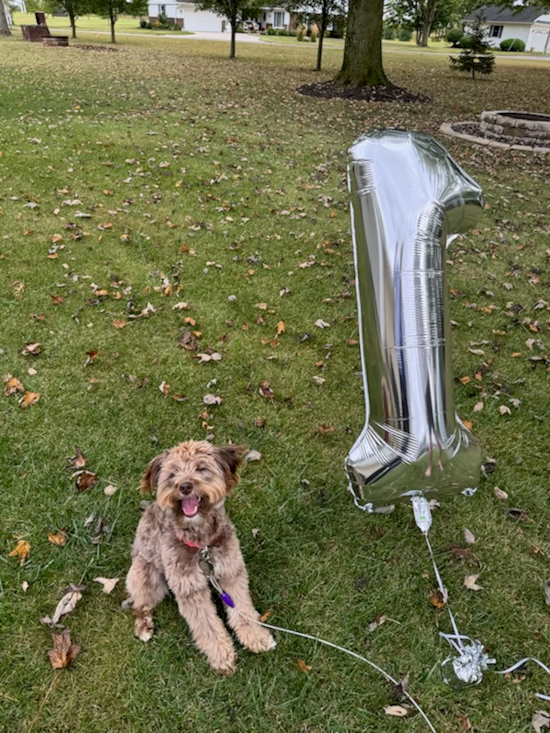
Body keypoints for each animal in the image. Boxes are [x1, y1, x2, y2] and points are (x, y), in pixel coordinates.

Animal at [128, 440, 278, 676]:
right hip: (144, 576)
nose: (185, 486)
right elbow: (207, 626)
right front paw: (222, 656)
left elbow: (243, 610)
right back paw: (144, 626)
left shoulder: (231, 572)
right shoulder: (190, 589)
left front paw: (256, 637)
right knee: (139, 605)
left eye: (200, 468)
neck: (201, 543)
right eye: (173, 474)